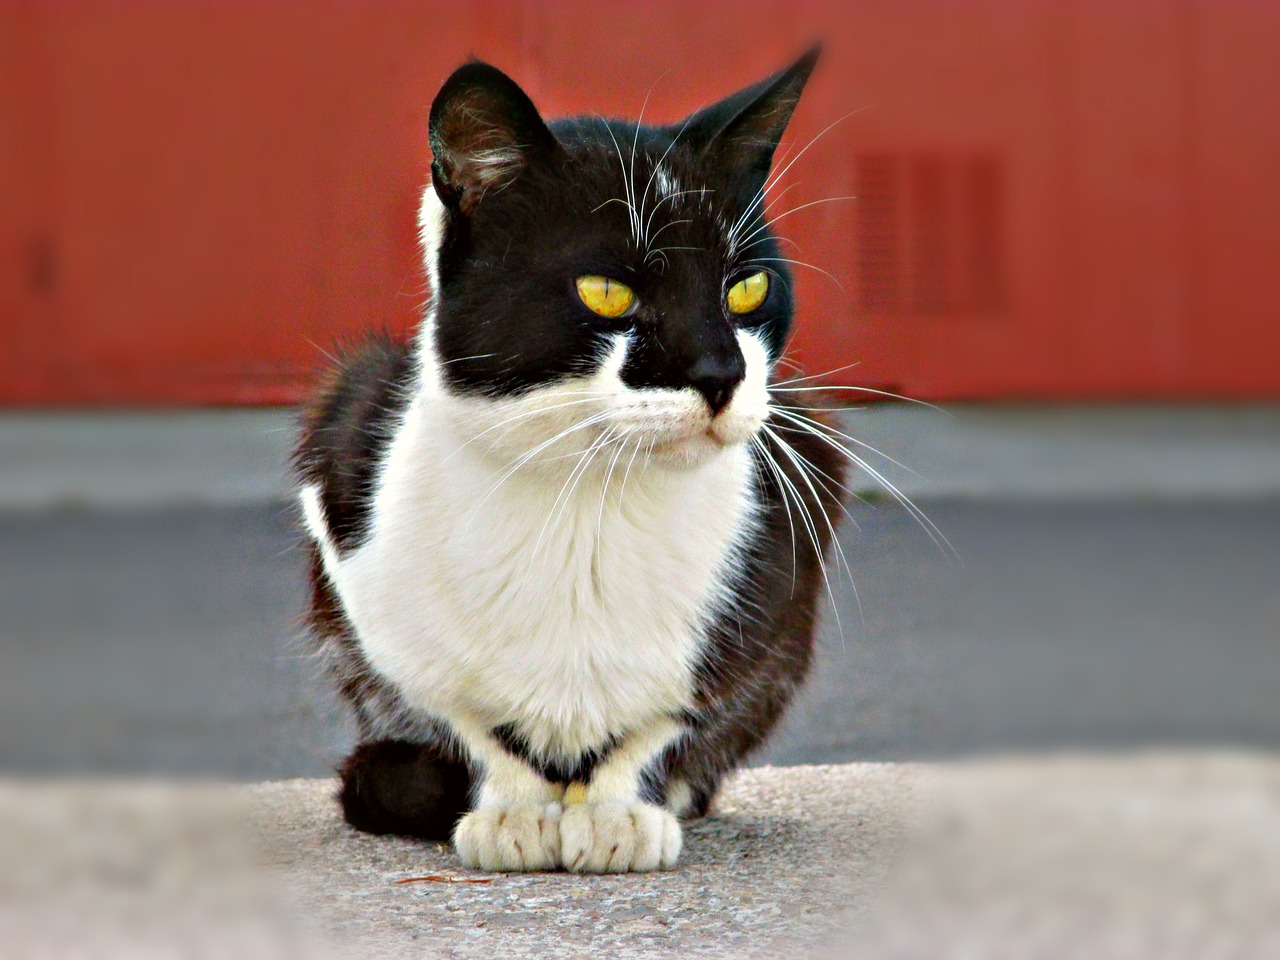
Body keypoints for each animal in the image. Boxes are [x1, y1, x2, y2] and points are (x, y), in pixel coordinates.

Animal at [293, 50, 844, 880]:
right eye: (607, 291)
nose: (721, 373)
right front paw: (512, 810)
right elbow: (456, 709)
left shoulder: (777, 576)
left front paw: (621, 810)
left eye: (746, 287)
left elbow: (681, 711)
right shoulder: (353, 538)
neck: (589, 500)